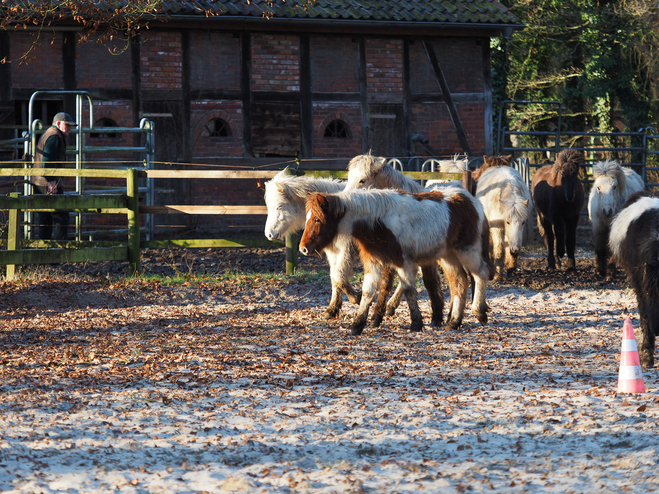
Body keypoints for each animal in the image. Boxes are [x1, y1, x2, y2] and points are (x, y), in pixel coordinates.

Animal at [262, 170, 360, 316]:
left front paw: (356, 298)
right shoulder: (333, 252)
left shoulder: (346, 251)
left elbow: (339, 276)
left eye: (279, 206)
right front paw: (332, 309)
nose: (269, 234)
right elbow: (335, 278)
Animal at [300, 186, 490, 336]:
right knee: (459, 282)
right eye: (307, 217)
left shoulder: (402, 261)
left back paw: (479, 313)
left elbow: (408, 289)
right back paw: (454, 322)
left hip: (467, 250)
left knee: (481, 273)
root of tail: (472, 200)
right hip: (448, 256)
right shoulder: (374, 261)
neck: (377, 220)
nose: (303, 248)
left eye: (317, 219)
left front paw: (416, 324)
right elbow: (368, 291)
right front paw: (357, 325)